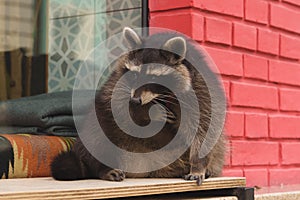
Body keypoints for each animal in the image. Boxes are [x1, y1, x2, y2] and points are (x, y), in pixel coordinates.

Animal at [50, 27, 226, 185]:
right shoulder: (119, 81)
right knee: (96, 131)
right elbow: (119, 107)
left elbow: (205, 128)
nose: (135, 100)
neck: (164, 94)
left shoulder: (201, 91)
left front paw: (198, 166)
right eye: (134, 75)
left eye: (153, 78)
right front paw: (147, 112)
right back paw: (102, 168)